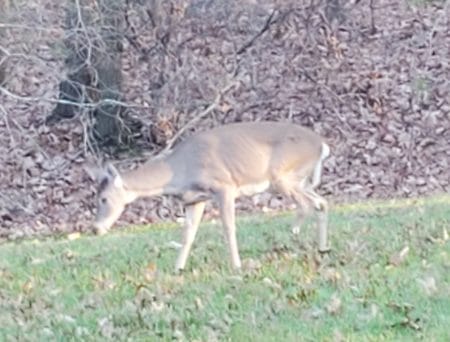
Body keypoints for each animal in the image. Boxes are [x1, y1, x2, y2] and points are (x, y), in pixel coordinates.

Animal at [87, 121, 330, 272]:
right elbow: (188, 234)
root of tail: (322, 145)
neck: (179, 171)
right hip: (299, 179)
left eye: (103, 199)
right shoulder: (195, 199)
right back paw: (322, 248)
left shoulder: (224, 186)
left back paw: (295, 236)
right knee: (321, 202)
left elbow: (228, 227)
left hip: (282, 177)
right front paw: (178, 268)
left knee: (308, 204)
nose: (95, 228)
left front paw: (237, 265)